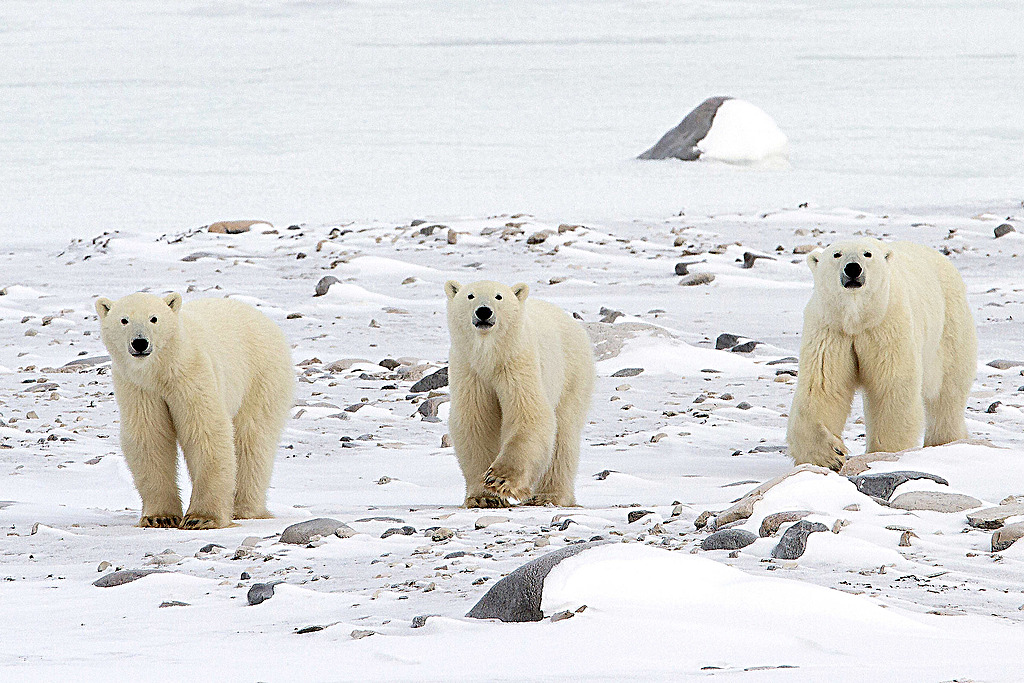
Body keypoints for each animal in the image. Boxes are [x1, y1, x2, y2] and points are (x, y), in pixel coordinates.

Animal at [96, 292, 294, 528]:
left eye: (154, 318)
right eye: (124, 320)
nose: (140, 342)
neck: (161, 370)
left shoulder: (191, 374)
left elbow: (204, 430)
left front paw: (201, 517)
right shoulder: (139, 388)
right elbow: (150, 436)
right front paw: (160, 517)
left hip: (261, 376)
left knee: (252, 439)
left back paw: (245, 509)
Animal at [444, 278, 598, 507]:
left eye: (499, 296)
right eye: (470, 295)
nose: (483, 311)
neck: (490, 356)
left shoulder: (517, 363)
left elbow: (528, 413)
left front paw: (499, 478)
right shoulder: (470, 370)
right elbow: (476, 422)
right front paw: (483, 498)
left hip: (572, 374)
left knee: (563, 434)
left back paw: (549, 496)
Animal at [786, 239, 978, 471]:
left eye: (867, 254)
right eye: (836, 254)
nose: (853, 268)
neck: (857, 320)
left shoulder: (887, 327)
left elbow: (891, 388)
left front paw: (885, 453)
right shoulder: (831, 331)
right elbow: (823, 388)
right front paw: (830, 455)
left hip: (948, 327)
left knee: (948, 392)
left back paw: (945, 441)